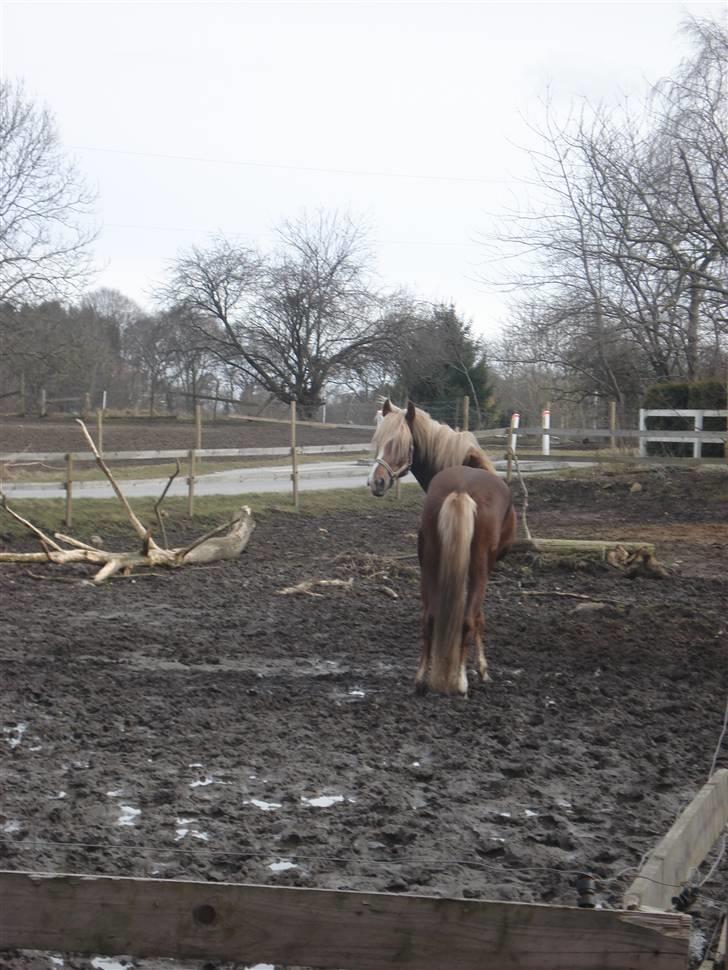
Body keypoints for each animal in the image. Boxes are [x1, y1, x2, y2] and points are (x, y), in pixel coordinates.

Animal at [416, 466, 516, 692]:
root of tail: (461, 489)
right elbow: (479, 617)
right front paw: (483, 670)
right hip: (479, 567)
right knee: (468, 619)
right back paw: (460, 681)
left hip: (430, 563)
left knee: (429, 618)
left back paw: (421, 679)